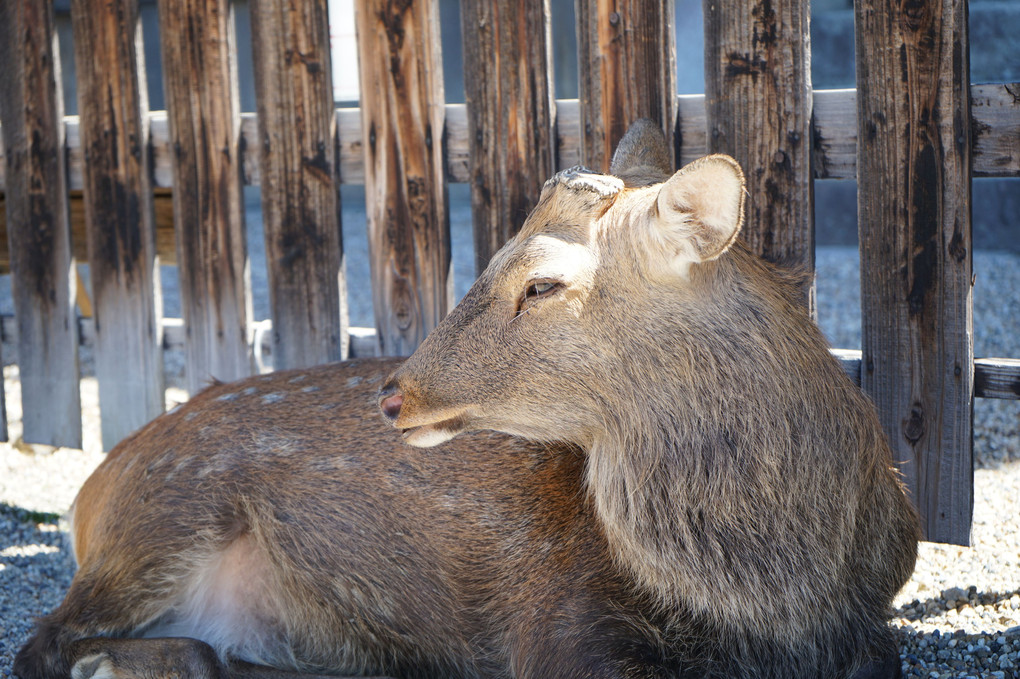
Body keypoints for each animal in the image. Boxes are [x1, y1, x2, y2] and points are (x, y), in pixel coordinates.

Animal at [15, 118, 922, 672]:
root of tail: (87, 492)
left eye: (542, 282)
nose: (393, 395)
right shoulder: (559, 619)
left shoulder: (874, 623)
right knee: (44, 642)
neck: (776, 588)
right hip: (159, 523)